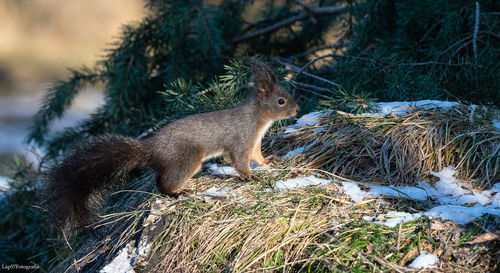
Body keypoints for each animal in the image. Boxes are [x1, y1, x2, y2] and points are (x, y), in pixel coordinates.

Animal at [42, 60, 296, 236]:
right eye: (280, 101)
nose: (297, 109)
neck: (259, 120)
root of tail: (151, 150)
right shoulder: (242, 139)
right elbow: (240, 162)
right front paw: (250, 178)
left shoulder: (255, 143)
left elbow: (257, 156)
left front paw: (270, 162)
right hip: (187, 158)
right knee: (163, 183)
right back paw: (178, 192)